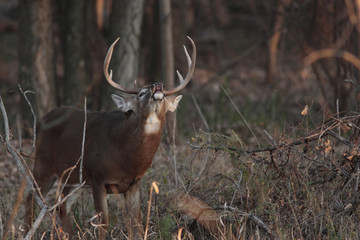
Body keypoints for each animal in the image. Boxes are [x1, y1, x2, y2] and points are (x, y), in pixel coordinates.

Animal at [24, 36, 197, 239]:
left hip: (72, 177)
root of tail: (40, 121)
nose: (158, 85)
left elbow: (136, 224)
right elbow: (103, 224)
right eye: (141, 93)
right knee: (31, 198)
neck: (124, 154)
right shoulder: (98, 178)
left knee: (62, 206)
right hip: (43, 165)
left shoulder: (133, 183)